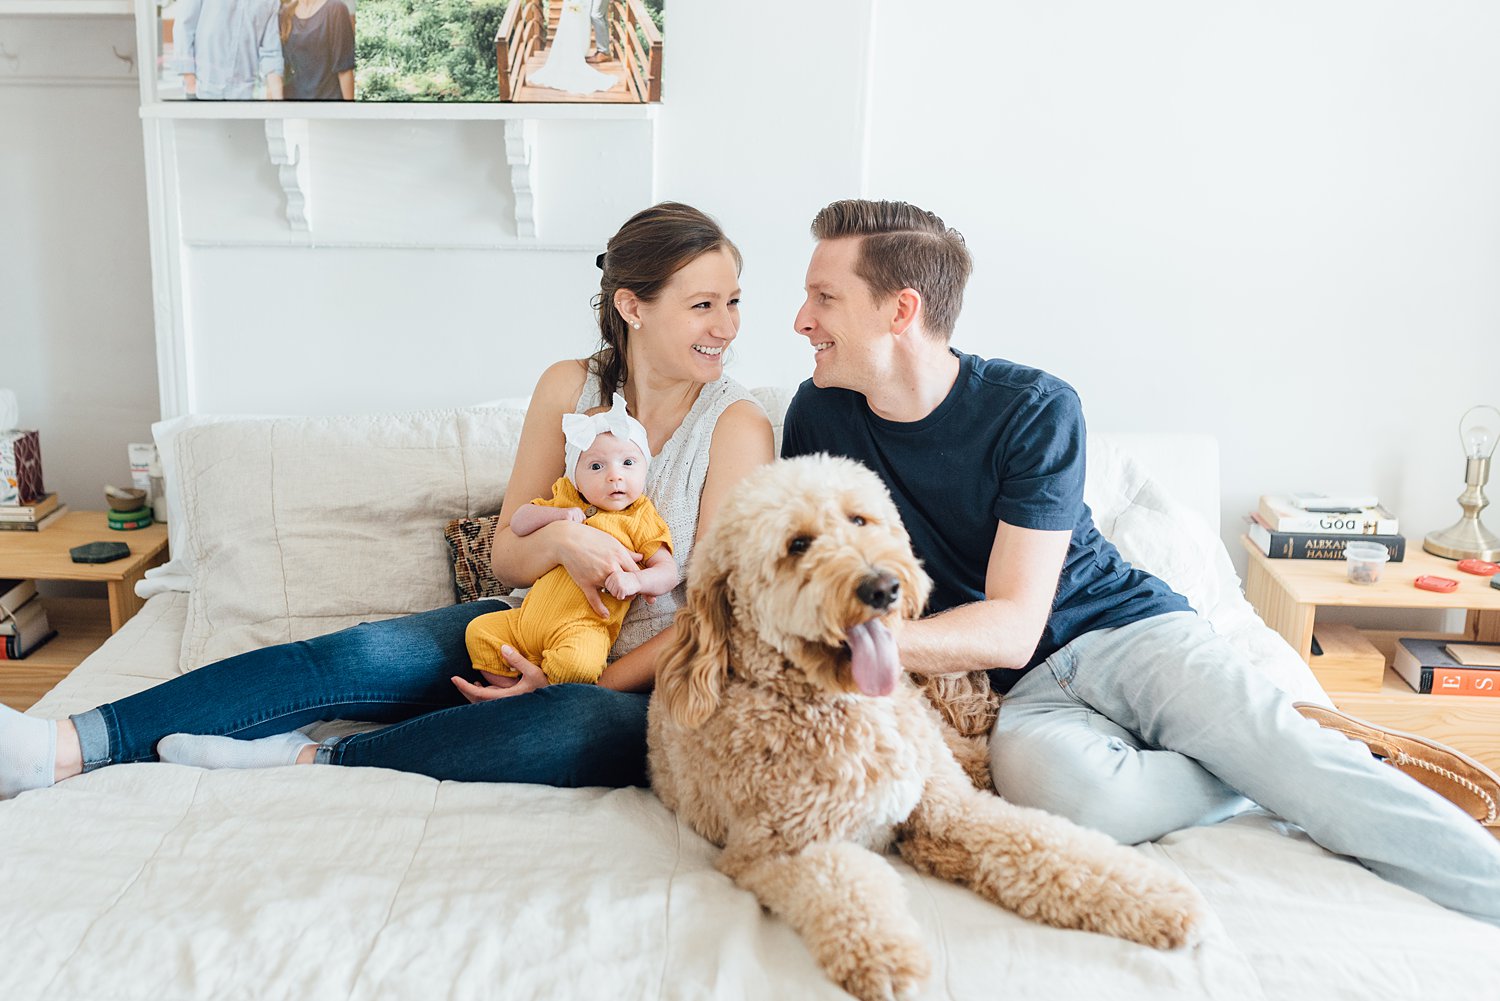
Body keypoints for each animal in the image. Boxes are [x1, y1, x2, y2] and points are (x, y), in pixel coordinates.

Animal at [645, 456, 1206, 1001]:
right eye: (797, 545)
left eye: (859, 520)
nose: (882, 586)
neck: (841, 707)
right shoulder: (776, 851)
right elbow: (845, 886)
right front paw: (885, 957)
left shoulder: (949, 807)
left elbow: (1048, 844)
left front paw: (1161, 897)